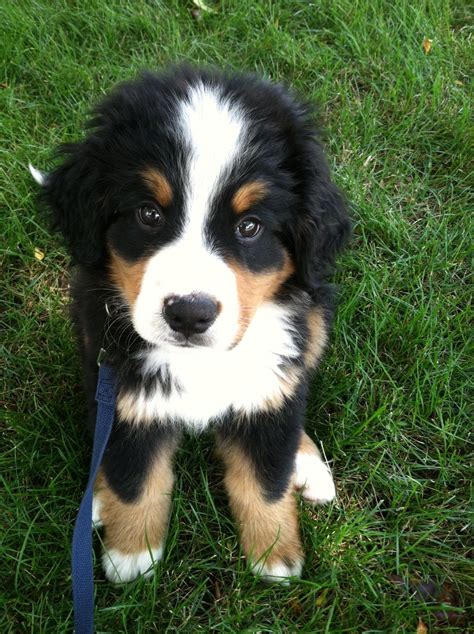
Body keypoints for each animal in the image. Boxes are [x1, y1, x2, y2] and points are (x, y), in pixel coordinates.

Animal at [32, 64, 348, 584]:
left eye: (249, 226)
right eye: (148, 213)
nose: (189, 314)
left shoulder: (266, 384)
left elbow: (265, 478)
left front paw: (275, 557)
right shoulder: (127, 393)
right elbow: (135, 478)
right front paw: (132, 556)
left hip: (313, 319)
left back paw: (307, 465)